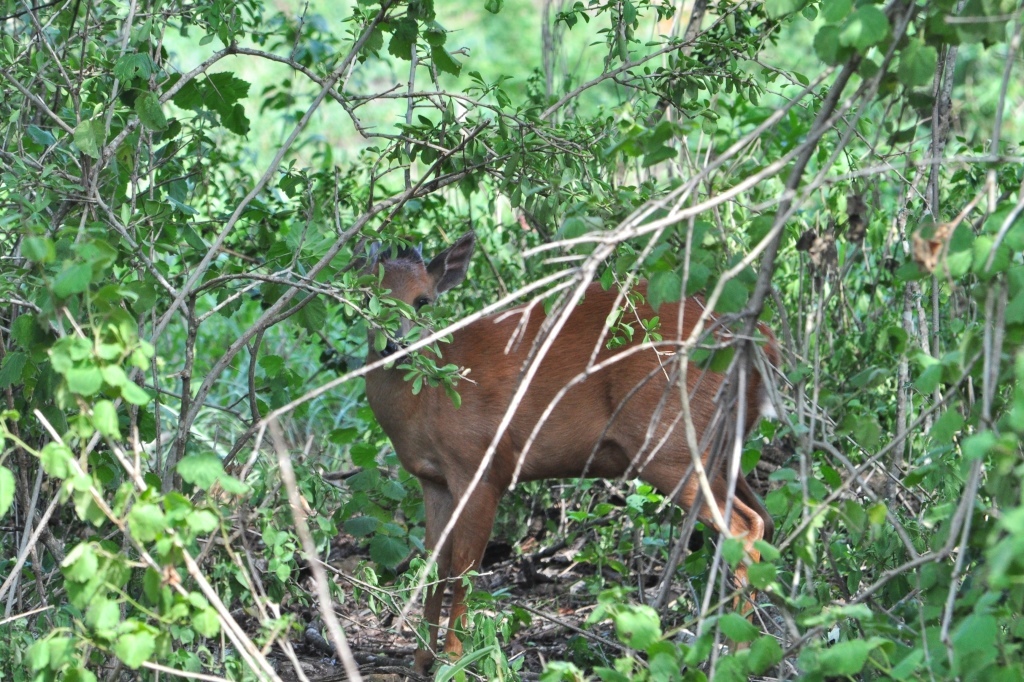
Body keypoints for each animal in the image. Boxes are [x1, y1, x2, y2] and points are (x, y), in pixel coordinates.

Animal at [364, 231, 778, 671]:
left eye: (422, 301)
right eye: (368, 293)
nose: (394, 343)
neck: (431, 396)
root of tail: (764, 346)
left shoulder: (481, 466)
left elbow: (465, 567)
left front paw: (455, 660)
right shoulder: (433, 480)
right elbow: (434, 562)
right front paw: (421, 660)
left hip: (672, 447)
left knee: (746, 528)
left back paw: (735, 656)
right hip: (722, 450)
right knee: (765, 520)